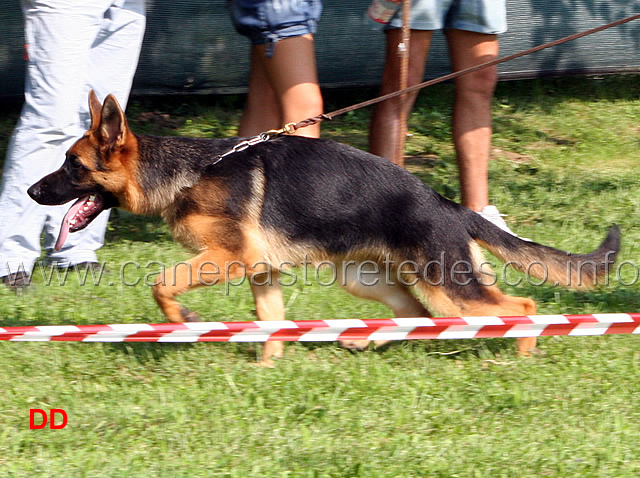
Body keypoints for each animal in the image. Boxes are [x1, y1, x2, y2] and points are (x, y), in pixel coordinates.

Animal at [30, 91, 620, 364]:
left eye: (72, 165)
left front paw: (182, 320)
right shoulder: (262, 273)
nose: (33, 193)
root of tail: (450, 205)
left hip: (447, 287)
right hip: (366, 280)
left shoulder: (226, 260)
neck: (188, 172)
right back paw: (370, 342)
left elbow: (161, 283)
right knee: (413, 313)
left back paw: (524, 350)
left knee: (522, 305)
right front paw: (267, 367)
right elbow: (270, 322)